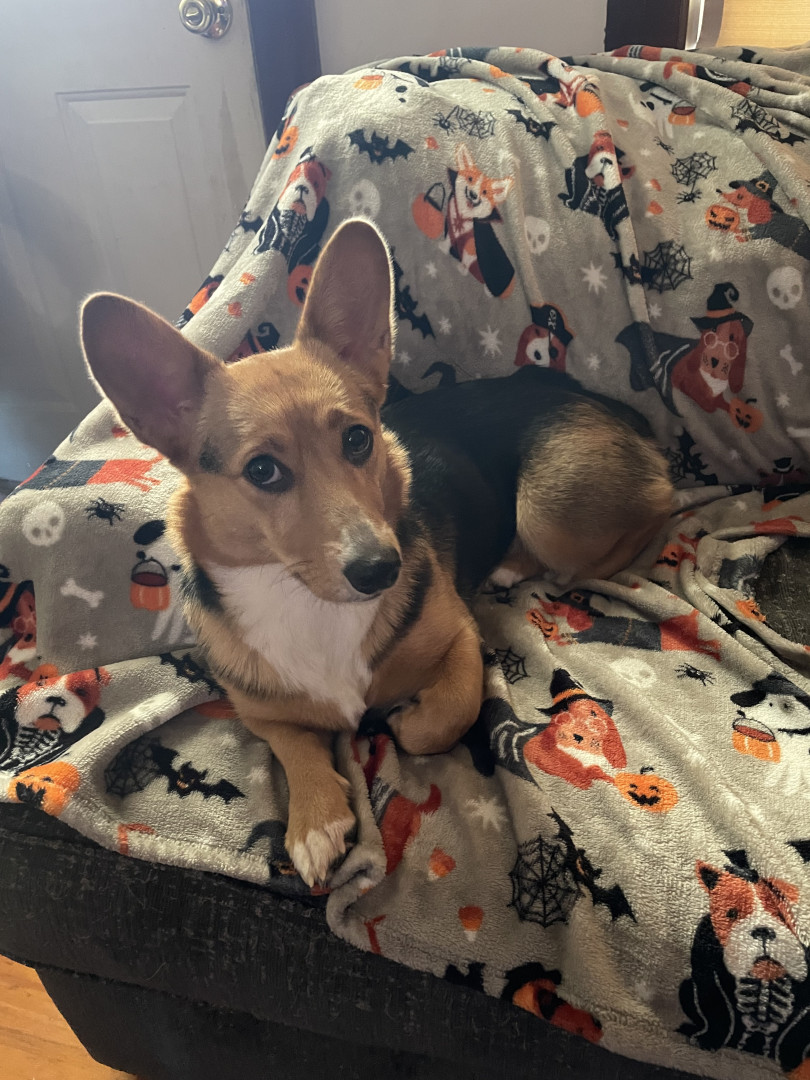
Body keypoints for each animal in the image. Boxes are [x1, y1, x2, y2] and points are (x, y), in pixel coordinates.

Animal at [80, 218, 672, 885]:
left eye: (359, 439)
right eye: (262, 470)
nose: (381, 570)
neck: (307, 602)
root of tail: (606, 403)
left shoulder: (461, 639)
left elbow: (443, 716)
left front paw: (404, 719)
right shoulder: (260, 712)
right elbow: (296, 746)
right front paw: (314, 821)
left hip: (548, 509)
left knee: (652, 511)